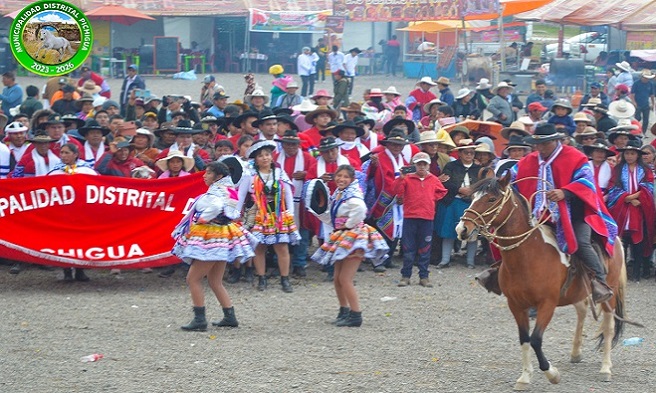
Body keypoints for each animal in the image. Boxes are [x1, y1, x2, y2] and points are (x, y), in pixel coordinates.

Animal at [456, 176, 632, 390]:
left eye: (491, 199)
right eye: (473, 198)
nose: (462, 229)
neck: (528, 255)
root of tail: (616, 239)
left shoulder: (547, 304)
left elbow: (536, 340)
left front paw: (552, 374)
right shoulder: (516, 305)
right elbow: (524, 339)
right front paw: (524, 377)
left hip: (610, 293)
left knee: (608, 326)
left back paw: (605, 368)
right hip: (577, 293)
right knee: (582, 312)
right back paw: (576, 353)